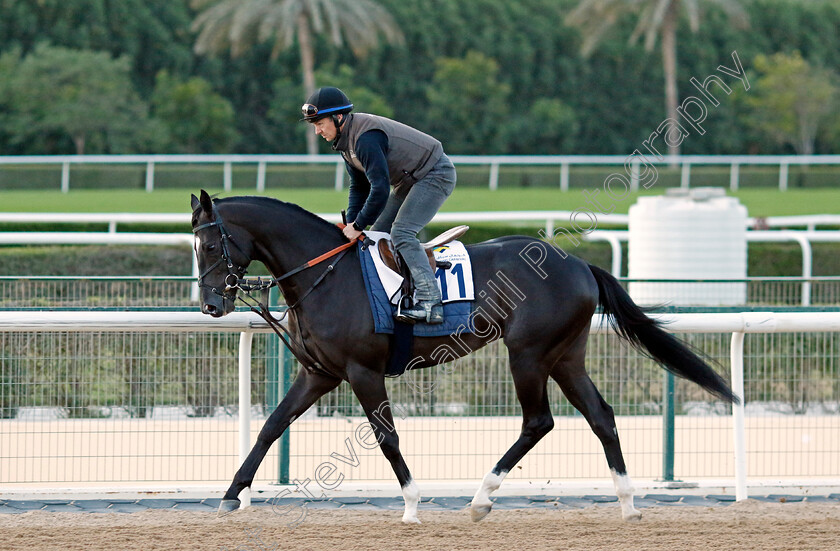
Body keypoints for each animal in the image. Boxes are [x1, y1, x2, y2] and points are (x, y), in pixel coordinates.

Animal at [190, 190, 736, 528]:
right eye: (194, 246)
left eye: (212, 244)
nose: (212, 306)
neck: (325, 277)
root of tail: (580, 262)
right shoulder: (318, 374)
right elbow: (270, 426)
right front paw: (231, 495)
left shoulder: (363, 372)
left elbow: (386, 438)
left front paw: (411, 506)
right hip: (566, 356)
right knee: (600, 415)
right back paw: (626, 505)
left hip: (528, 353)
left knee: (538, 421)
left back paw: (480, 499)